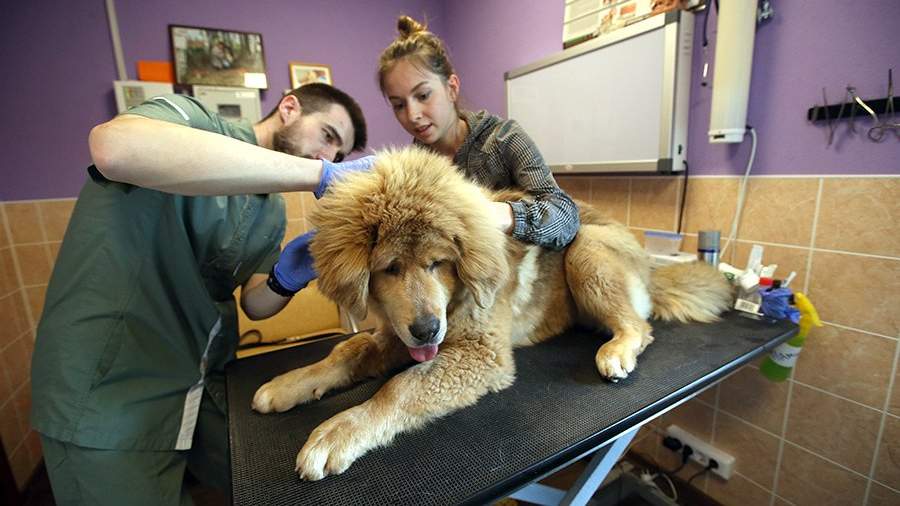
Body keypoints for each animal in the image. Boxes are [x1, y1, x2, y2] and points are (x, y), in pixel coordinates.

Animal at [251, 146, 732, 480]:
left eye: (438, 263)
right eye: (390, 268)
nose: (427, 330)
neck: (457, 296)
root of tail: (651, 266)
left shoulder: (480, 354)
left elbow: (399, 389)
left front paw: (340, 430)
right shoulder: (398, 334)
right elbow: (346, 353)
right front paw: (290, 383)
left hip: (587, 251)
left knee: (638, 325)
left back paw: (618, 350)